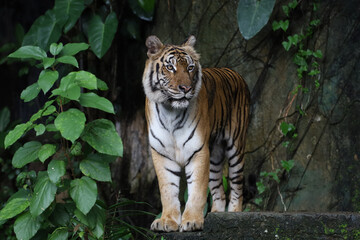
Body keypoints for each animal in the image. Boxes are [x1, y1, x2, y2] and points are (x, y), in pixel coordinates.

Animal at [142, 35, 249, 232]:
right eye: (170, 67)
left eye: (190, 68)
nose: (186, 88)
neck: (170, 112)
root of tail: (235, 73)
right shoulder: (162, 154)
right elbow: (168, 190)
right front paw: (167, 221)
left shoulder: (198, 151)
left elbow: (197, 190)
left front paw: (191, 221)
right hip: (214, 156)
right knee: (218, 190)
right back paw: (216, 214)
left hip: (236, 147)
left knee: (237, 183)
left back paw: (234, 213)